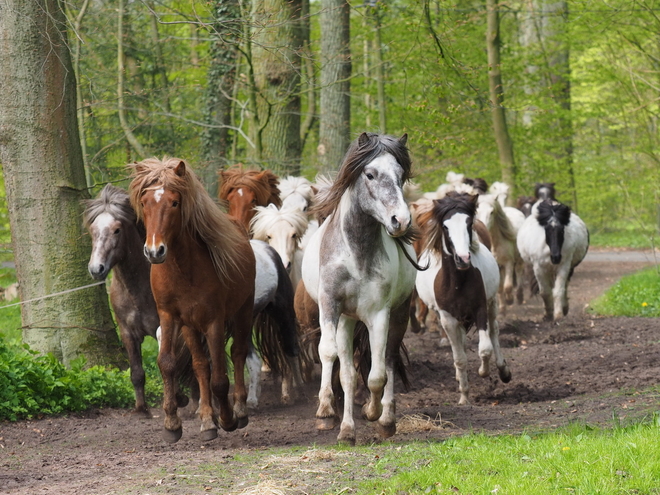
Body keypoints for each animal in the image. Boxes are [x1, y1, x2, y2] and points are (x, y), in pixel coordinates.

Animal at [300, 133, 416, 446]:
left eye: (401, 175)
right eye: (370, 174)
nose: (401, 220)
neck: (356, 253)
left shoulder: (379, 315)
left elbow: (377, 375)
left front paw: (373, 412)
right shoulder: (330, 306)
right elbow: (330, 355)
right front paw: (326, 412)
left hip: (398, 316)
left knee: (388, 361)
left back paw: (385, 420)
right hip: (347, 320)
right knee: (348, 373)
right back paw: (346, 429)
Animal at [416, 192, 512, 404]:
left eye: (469, 223)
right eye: (445, 226)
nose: (463, 259)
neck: (458, 282)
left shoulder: (480, 308)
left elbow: (485, 348)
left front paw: (484, 372)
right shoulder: (448, 318)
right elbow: (459, 358)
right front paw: (464, 398)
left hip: (492, 304)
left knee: (494, 332)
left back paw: (503, 371)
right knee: (461, 345)